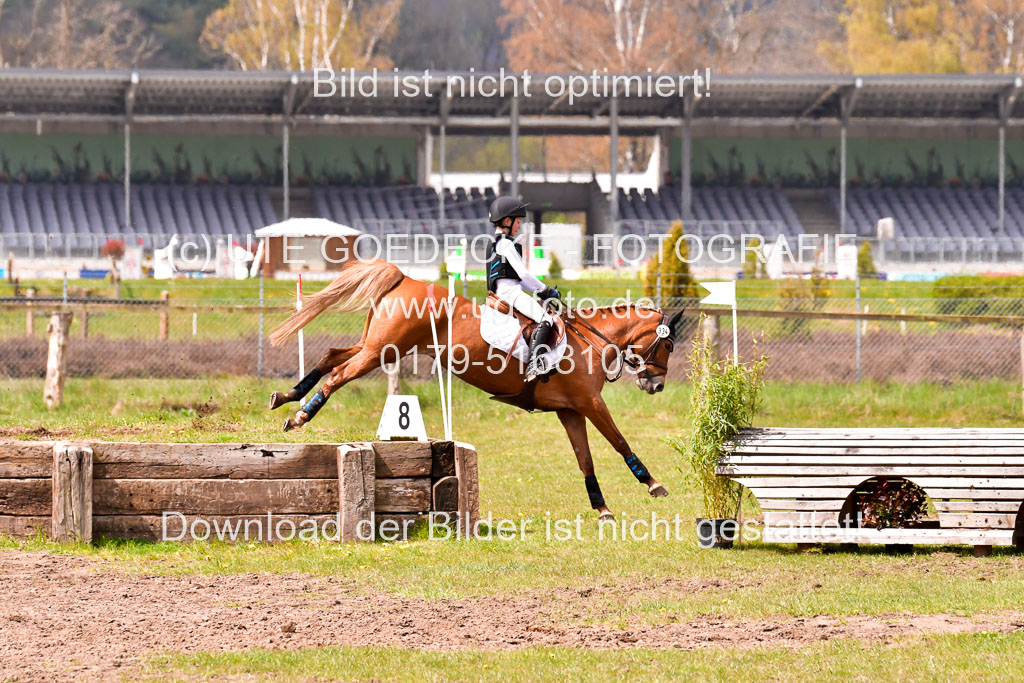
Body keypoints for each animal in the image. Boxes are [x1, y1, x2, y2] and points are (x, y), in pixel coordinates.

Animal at [268, 259, 684, 520]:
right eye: (668, 345)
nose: (656, 384)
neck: (590, 342)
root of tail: (405, 279)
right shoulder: (590, 402)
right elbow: (619, 441)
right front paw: (653, 484)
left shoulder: (570, 410)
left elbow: (586, 460)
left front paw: (602, 508)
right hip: (380, 351)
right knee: (339, 374)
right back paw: (301, 415)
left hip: (376, 345)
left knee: (331, 356)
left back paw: (286, 397)